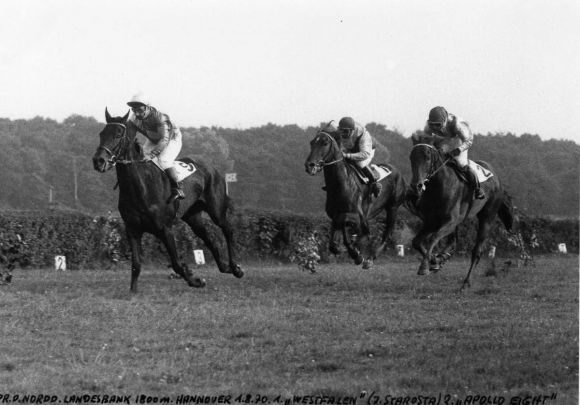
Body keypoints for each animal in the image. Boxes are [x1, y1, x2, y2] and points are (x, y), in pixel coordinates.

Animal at [91, 109, 245, 292]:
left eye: (118, 134)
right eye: (101, 133)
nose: (98, 161)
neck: (141, 186)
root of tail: (212, 168)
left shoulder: (165, 228)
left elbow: (177, 263)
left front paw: (196, 280)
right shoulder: (132, 229)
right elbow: (136, 264)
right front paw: (132, 292)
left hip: (216, 209)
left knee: (227, 229)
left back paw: (235, 267)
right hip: (192, 216)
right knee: (209, 238)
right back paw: (225, 267)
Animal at [306, 123, 406, 268]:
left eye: (325, 143)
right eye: (312, 142)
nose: (310, 165)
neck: (341, 184)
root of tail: (397, 172)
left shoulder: (357, 215)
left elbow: (351, 229)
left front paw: (356, 254)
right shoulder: (335, 215)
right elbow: (334, 242)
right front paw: (347, 250)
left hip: (393, 207)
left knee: (387, 233)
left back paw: (370, 258)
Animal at [408, 133, 512, 288]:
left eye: (427, 157)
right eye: (411, 157)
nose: (417, 185)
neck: (439, 186)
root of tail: (497, 179)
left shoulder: (450, 221)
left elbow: (433, 238)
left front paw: (425, 267)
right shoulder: (431, 222)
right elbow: (417, 242)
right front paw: (436, 261)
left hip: (487, 217)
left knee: (477, 251)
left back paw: (465, 283)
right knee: (454, 241)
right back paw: (444, 256)